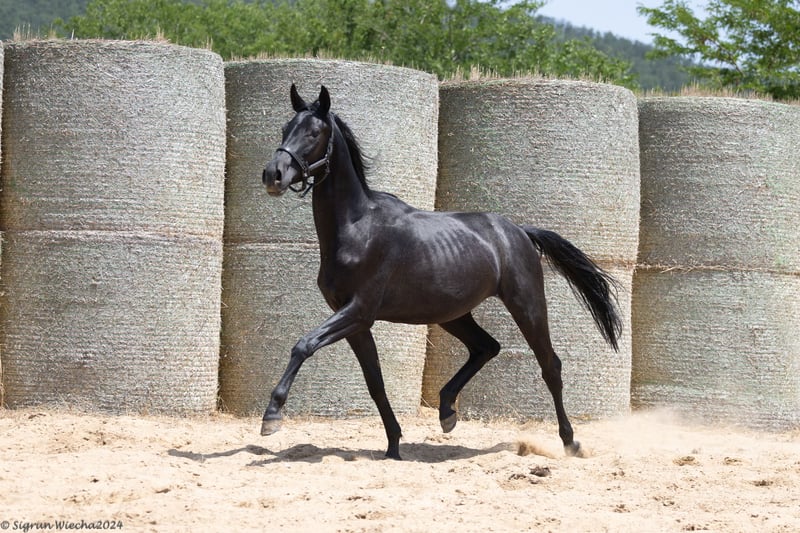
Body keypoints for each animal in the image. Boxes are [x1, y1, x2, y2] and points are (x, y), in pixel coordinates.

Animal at [261, 84, 621, 460]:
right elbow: (375, 382)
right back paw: (447, 411)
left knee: (550, 365)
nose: (273, 175)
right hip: (453, 314)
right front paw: (394, 445)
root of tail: (519, 231)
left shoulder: (358, 311)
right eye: (285, 129)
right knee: (486, 347)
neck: (357, 228)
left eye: (313, 133)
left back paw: (570, 442)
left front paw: (272, 416)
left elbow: (303, 345)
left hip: (527, 305)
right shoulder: (355, 322)